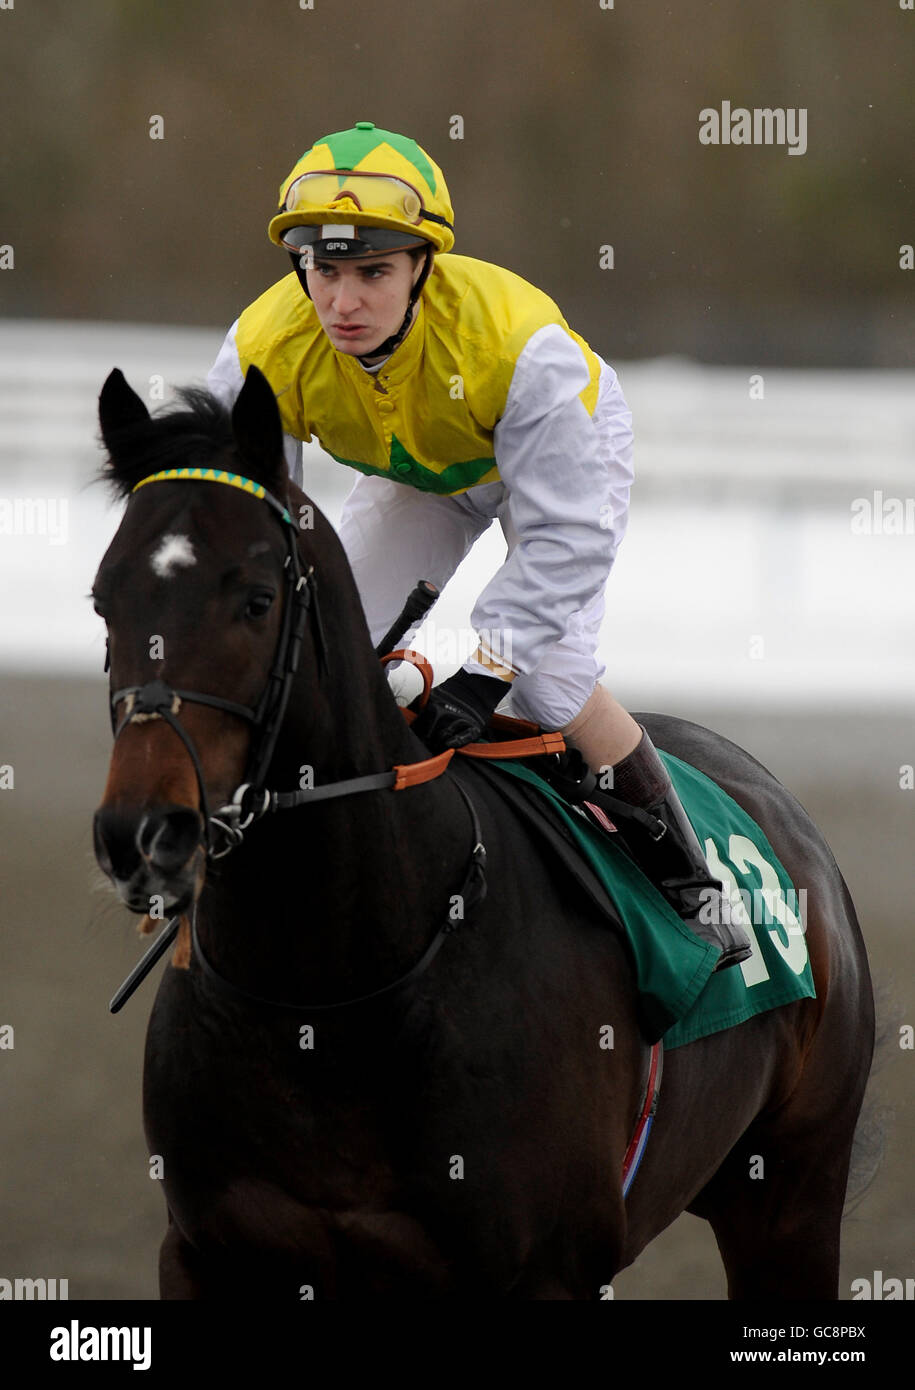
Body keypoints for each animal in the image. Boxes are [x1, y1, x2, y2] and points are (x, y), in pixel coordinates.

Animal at [91, 364, 867, 1295]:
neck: (328, 993)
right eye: (103, 600)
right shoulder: (205, 1250)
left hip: (791, 1193)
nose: (142, 832)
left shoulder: (545, 1269)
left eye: (255, 599)